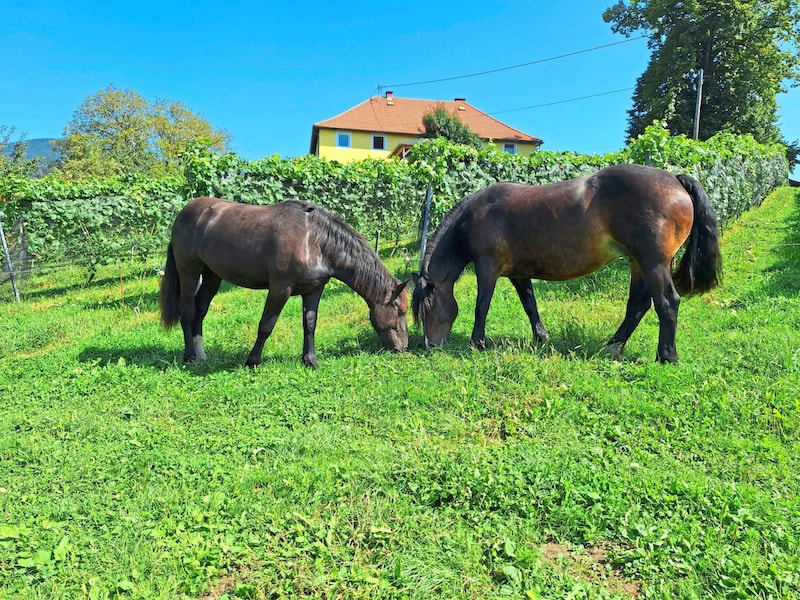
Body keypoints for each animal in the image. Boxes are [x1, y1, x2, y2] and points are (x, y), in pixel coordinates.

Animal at [159, 198, 410, 366]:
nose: (403, 347)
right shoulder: (280, 289)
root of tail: (184, 212)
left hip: (213, 275)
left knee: (200, 310)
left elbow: (310, 324)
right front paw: (253, 360)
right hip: (189, 271)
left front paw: (310, 360)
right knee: (188, 311)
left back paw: (202, 355)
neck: (314, 241)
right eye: (400, 311)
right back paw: (189, 356)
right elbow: (266, 325)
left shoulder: (314, 290)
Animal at [416, 162, 720, 364]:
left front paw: (476, 343)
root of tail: (675, 180)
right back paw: (612, 348)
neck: (477, 215)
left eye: (427, 306)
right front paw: (541, 337)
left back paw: (666, 356)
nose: (430, 345)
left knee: (667, 302)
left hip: (653, 263)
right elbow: (530, 304)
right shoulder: (518, 274)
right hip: (639, 263)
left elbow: (482, 306)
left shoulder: (487, 268)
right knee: (638, 305)